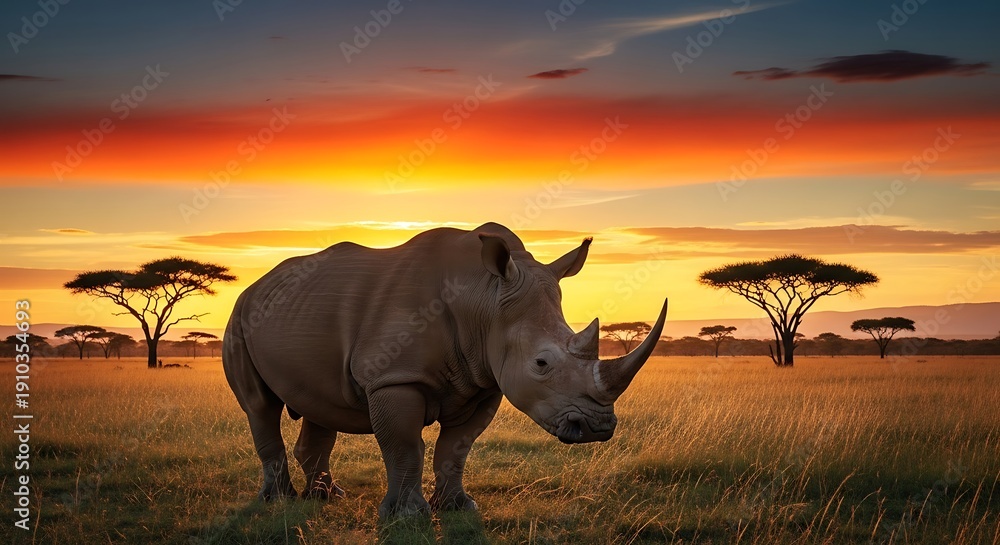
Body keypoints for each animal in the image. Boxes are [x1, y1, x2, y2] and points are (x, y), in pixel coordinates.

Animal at [223, 222, 667, 517]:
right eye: (541, 364)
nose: (597, 428)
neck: (484, 300)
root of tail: (257, 285)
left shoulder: (485, 381)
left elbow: (456, 448)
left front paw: (458, 507)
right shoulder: (395, 378)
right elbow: (405, 447)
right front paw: (409, 516)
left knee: (318, 403)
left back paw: (328, 497)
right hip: (240, 315)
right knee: (259, 406)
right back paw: (278, 501)